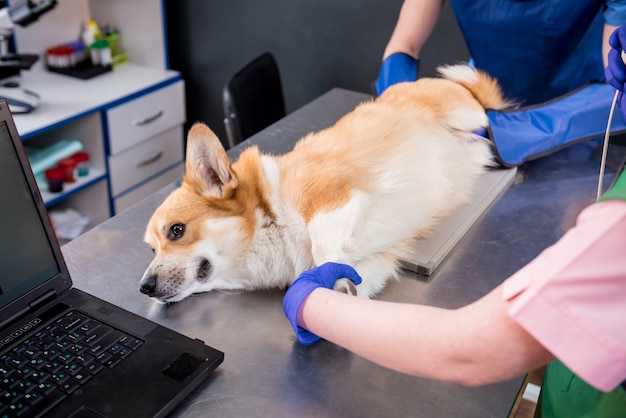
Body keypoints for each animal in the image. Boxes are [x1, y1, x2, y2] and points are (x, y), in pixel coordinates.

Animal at [141, 63, 512, 302]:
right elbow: (356, 281)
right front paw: (340, 287)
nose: (144, 288)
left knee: (488, 109)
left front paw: (330, 269)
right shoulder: (379, 260)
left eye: (176, 230)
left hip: (467, 112)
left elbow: (323, 244)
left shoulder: (330, 194)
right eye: (151, 248)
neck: (269, 229)